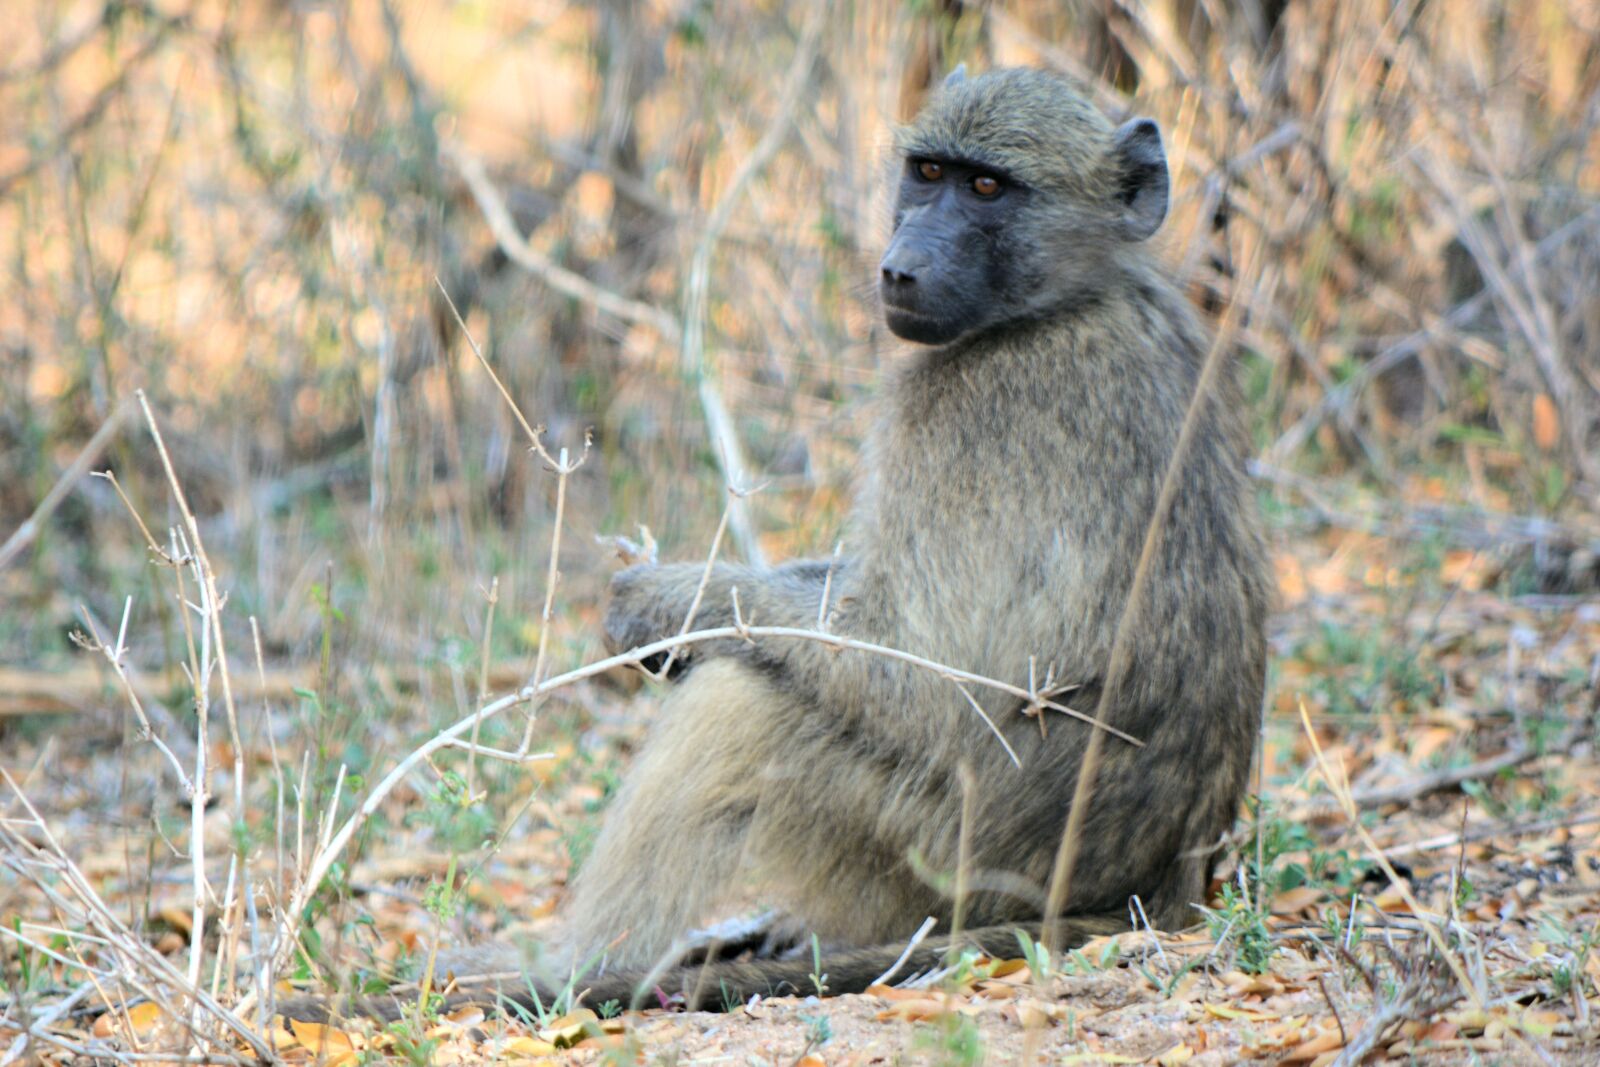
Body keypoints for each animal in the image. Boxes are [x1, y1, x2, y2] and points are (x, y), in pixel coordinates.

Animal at [282, 65, 1269, 1023]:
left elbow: (924, 669)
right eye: (927, 174)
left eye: (989, 187)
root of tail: (1159, 886)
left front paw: (656, 607)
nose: (901, 267)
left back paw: (560, 968)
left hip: (940, 849)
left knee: (746, 702)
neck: (1073, 296)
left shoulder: (975, 408)